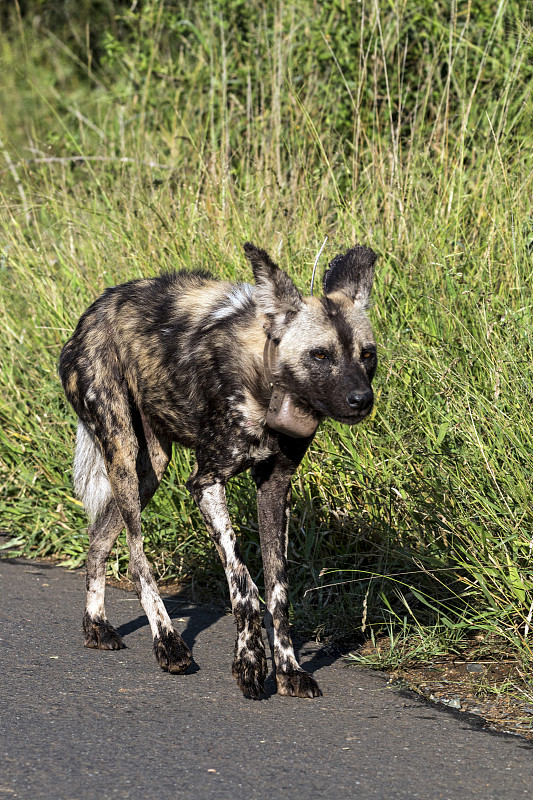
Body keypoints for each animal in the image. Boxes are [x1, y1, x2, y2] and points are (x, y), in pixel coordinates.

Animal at [60, 244, 376, 700]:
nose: (362, 399)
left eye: (367, 355)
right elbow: (244, 581)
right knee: (137, 558)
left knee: (99, 540)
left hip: (149, 470)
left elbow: (278, 590)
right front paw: (249, 661)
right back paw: (168, 643)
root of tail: (92, 311)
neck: (267, 383)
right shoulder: (206, 483)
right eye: (320, 355)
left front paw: (289, 669)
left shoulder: (274, 487)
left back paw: (97, 626)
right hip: (122, 448)